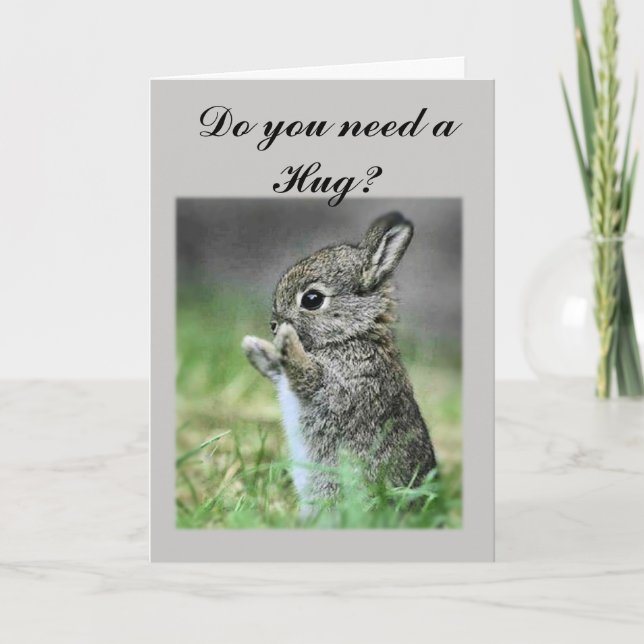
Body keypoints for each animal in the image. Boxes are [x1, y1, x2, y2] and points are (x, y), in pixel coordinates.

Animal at [241, 212, 436, 504]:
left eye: (312, 299)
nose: (274, 325)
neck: (351, 336)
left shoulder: (340, 387)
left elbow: (306, 374)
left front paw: (286, 339)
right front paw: (254, 346)